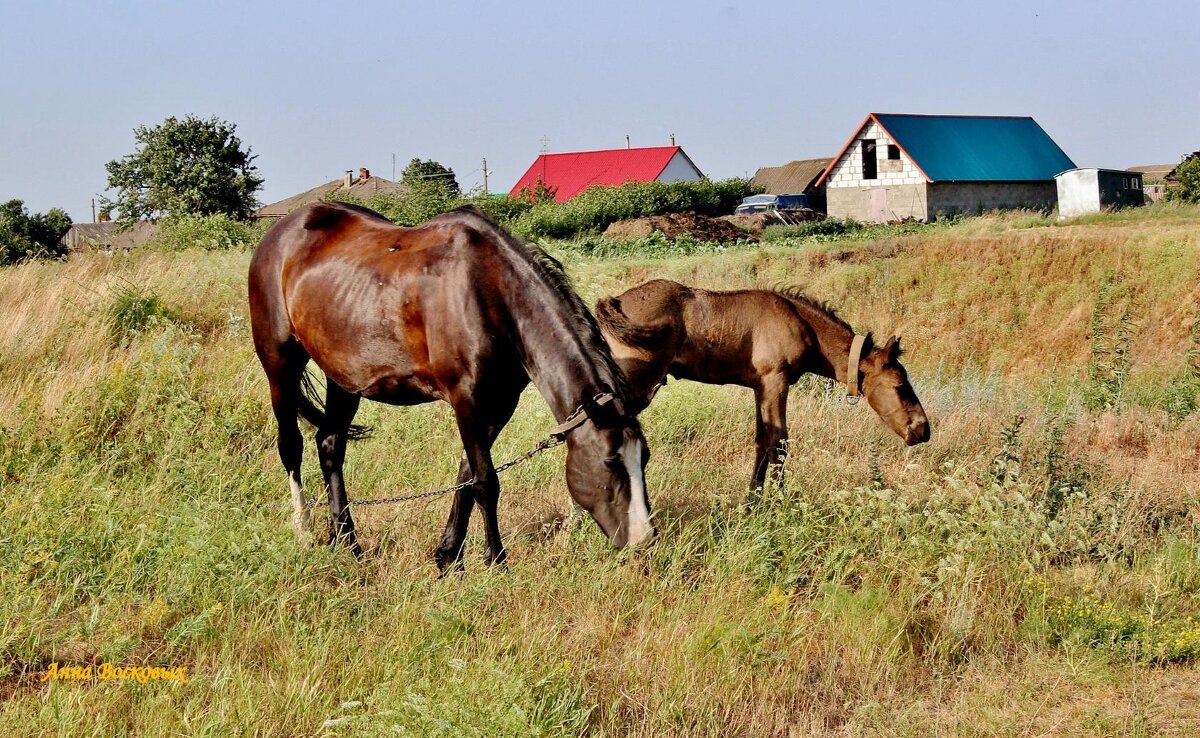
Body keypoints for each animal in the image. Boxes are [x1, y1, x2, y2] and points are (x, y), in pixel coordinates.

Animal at [247, 201, 652, 571]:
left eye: (644, 457)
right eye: (610, 461)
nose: (644, 540)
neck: (489, 291)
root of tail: (278, 233)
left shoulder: (500, 402)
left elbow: (466, 476)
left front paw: (448, 557)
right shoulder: (466, 399)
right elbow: (485, 482)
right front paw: (496, 562)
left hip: (343, 377)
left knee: (330, 445)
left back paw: (346, 541)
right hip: (279, 364)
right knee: (292, 445)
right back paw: (304, 532)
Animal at [595, 279, 931, 494]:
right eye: (900, 384)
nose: (922, 429)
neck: (804, 326)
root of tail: (612, 305)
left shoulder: (760, 387)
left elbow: (761, 441)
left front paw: (752, 502)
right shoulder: (775, 380)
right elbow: (778, 443)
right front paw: (781, 503)